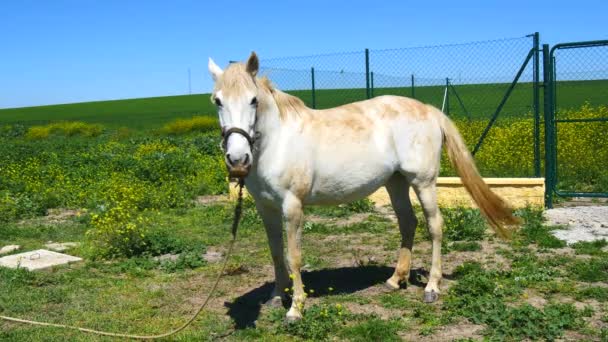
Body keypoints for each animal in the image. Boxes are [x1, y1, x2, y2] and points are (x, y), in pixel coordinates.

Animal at [208, 52, 516, 322]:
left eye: (253, 100)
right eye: (217, 101)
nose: (237, 160)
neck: (277, 142)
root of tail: (429, 111)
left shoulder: (293, 206)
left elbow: (294, 257)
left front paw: (295, 309)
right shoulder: (266, 207)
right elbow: (275, 252)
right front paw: (276, 297)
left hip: (423, 182)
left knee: (435, 226)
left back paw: (431, 287)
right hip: (396, 182)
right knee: (408, 223)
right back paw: (395, 280)